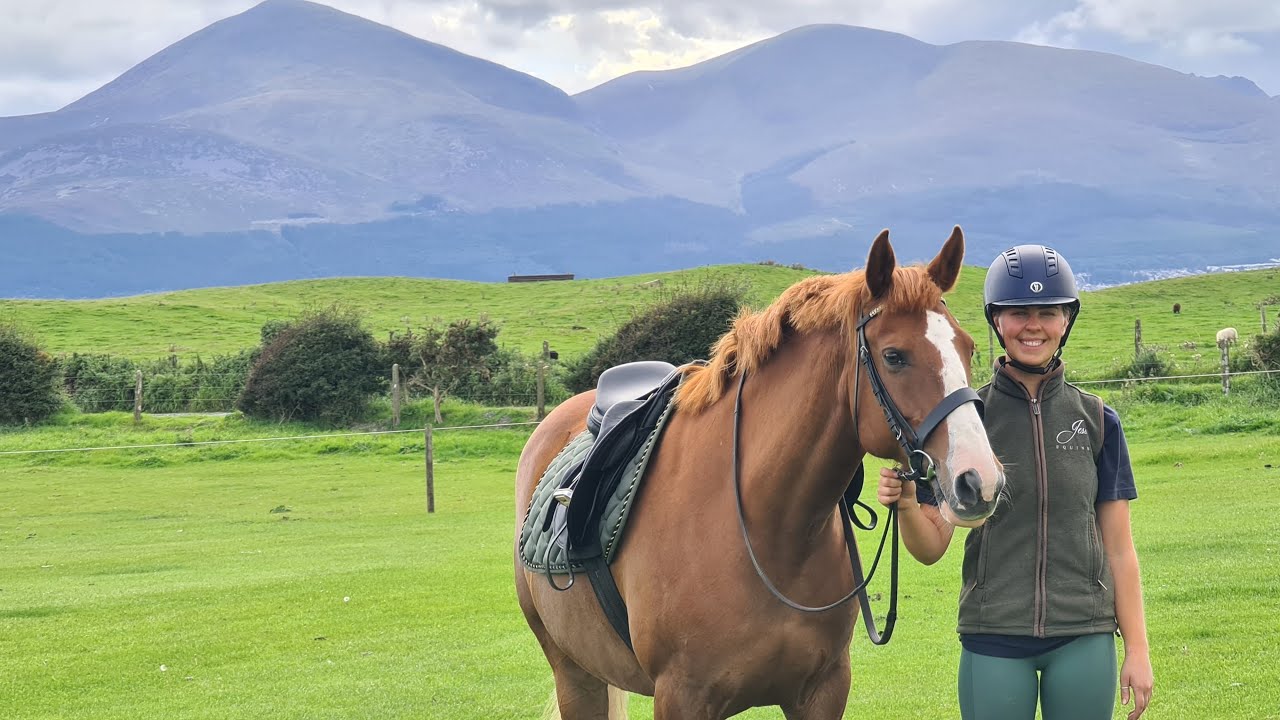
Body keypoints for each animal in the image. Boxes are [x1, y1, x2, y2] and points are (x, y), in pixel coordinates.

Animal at [514, 226, 1007, 719]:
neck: (767, 531)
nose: (980, 479)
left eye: (968, 347)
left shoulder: (823, 691)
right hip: (574, 675)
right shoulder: (681, 697)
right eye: (894, 356)